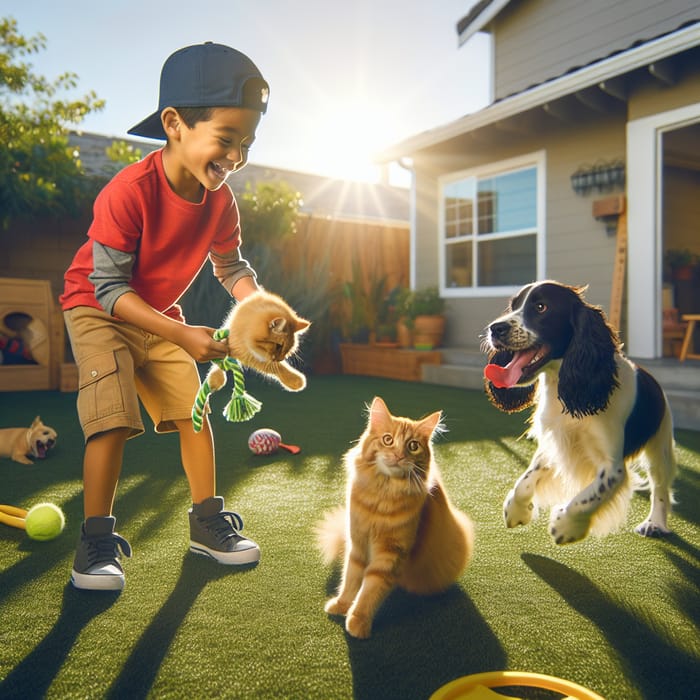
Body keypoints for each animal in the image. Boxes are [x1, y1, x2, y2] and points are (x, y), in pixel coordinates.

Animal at [318, 396, 476, 636]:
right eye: (388, 439)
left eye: (413, 446)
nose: (399, 455)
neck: (382, 496)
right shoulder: (357, 542)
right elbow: (351, 579)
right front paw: (342, 604)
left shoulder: (391, 554)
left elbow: (370, 590)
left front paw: (358, 621)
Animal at [484, 282, 676, 544]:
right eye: (513, 306)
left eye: (541, 307)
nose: (495, 328)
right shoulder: (554, 442)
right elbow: (526, 480)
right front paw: (517, 510)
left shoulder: (613, 467)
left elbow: (589, 497)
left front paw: (565, 526)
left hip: (660, 445)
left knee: (660, 487)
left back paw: (654, 523)